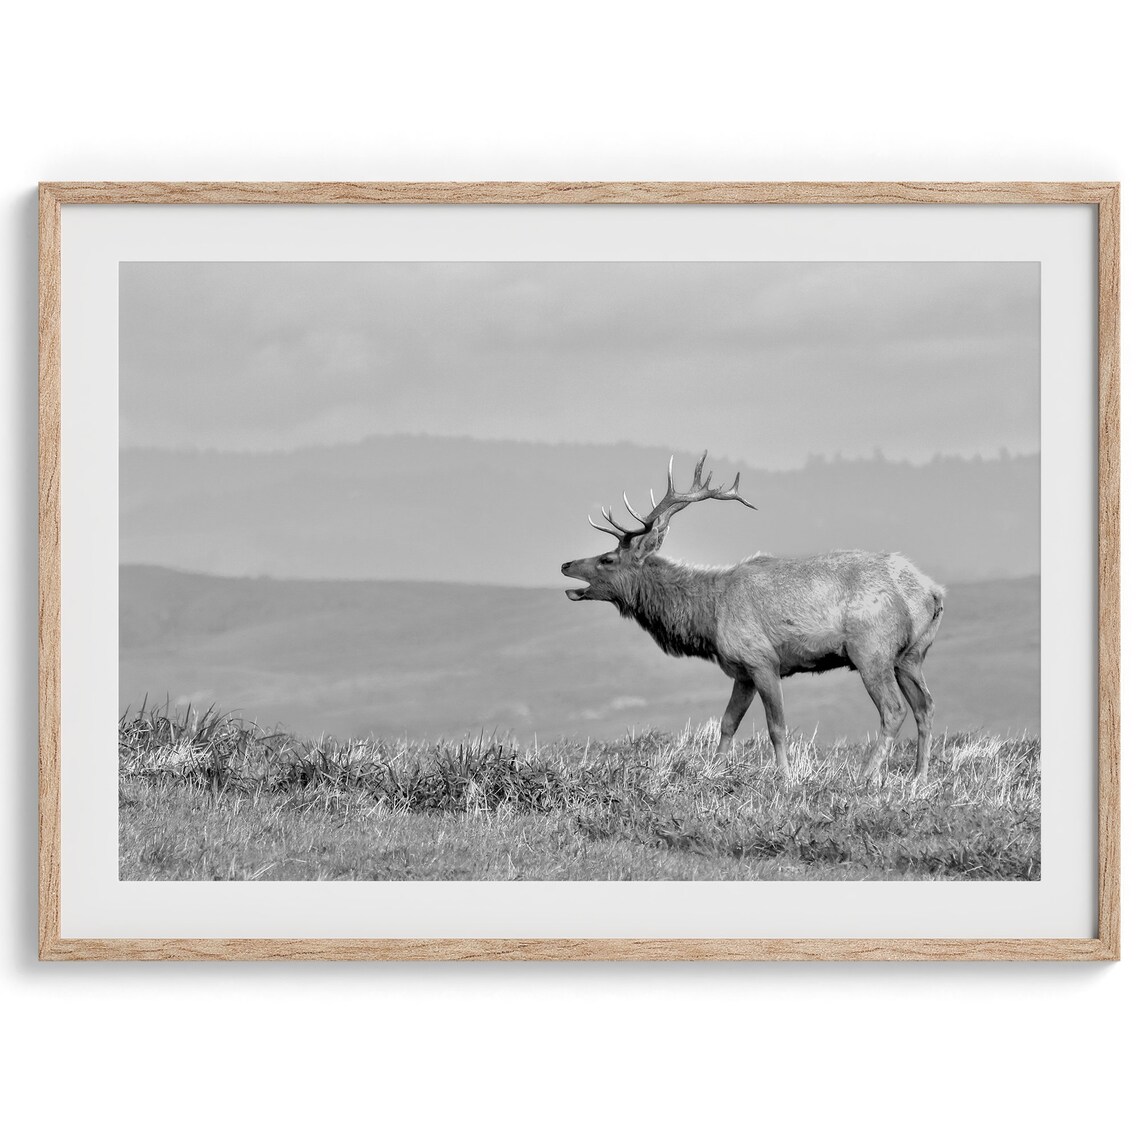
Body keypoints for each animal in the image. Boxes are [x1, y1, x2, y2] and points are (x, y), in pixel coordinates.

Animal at [561, 452, 945, 783]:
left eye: (608, 559)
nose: (565, 564)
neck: (708, 617)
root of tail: (933, 591)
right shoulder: (741, 671)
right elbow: (727, 723)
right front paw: (712, 771)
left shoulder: (763, 660)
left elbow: (777, 727)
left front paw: (785, 778)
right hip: (911, 656)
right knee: (925, 706)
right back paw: (919, 776)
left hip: (871, 650)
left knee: (893, 709)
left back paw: (866, 776)